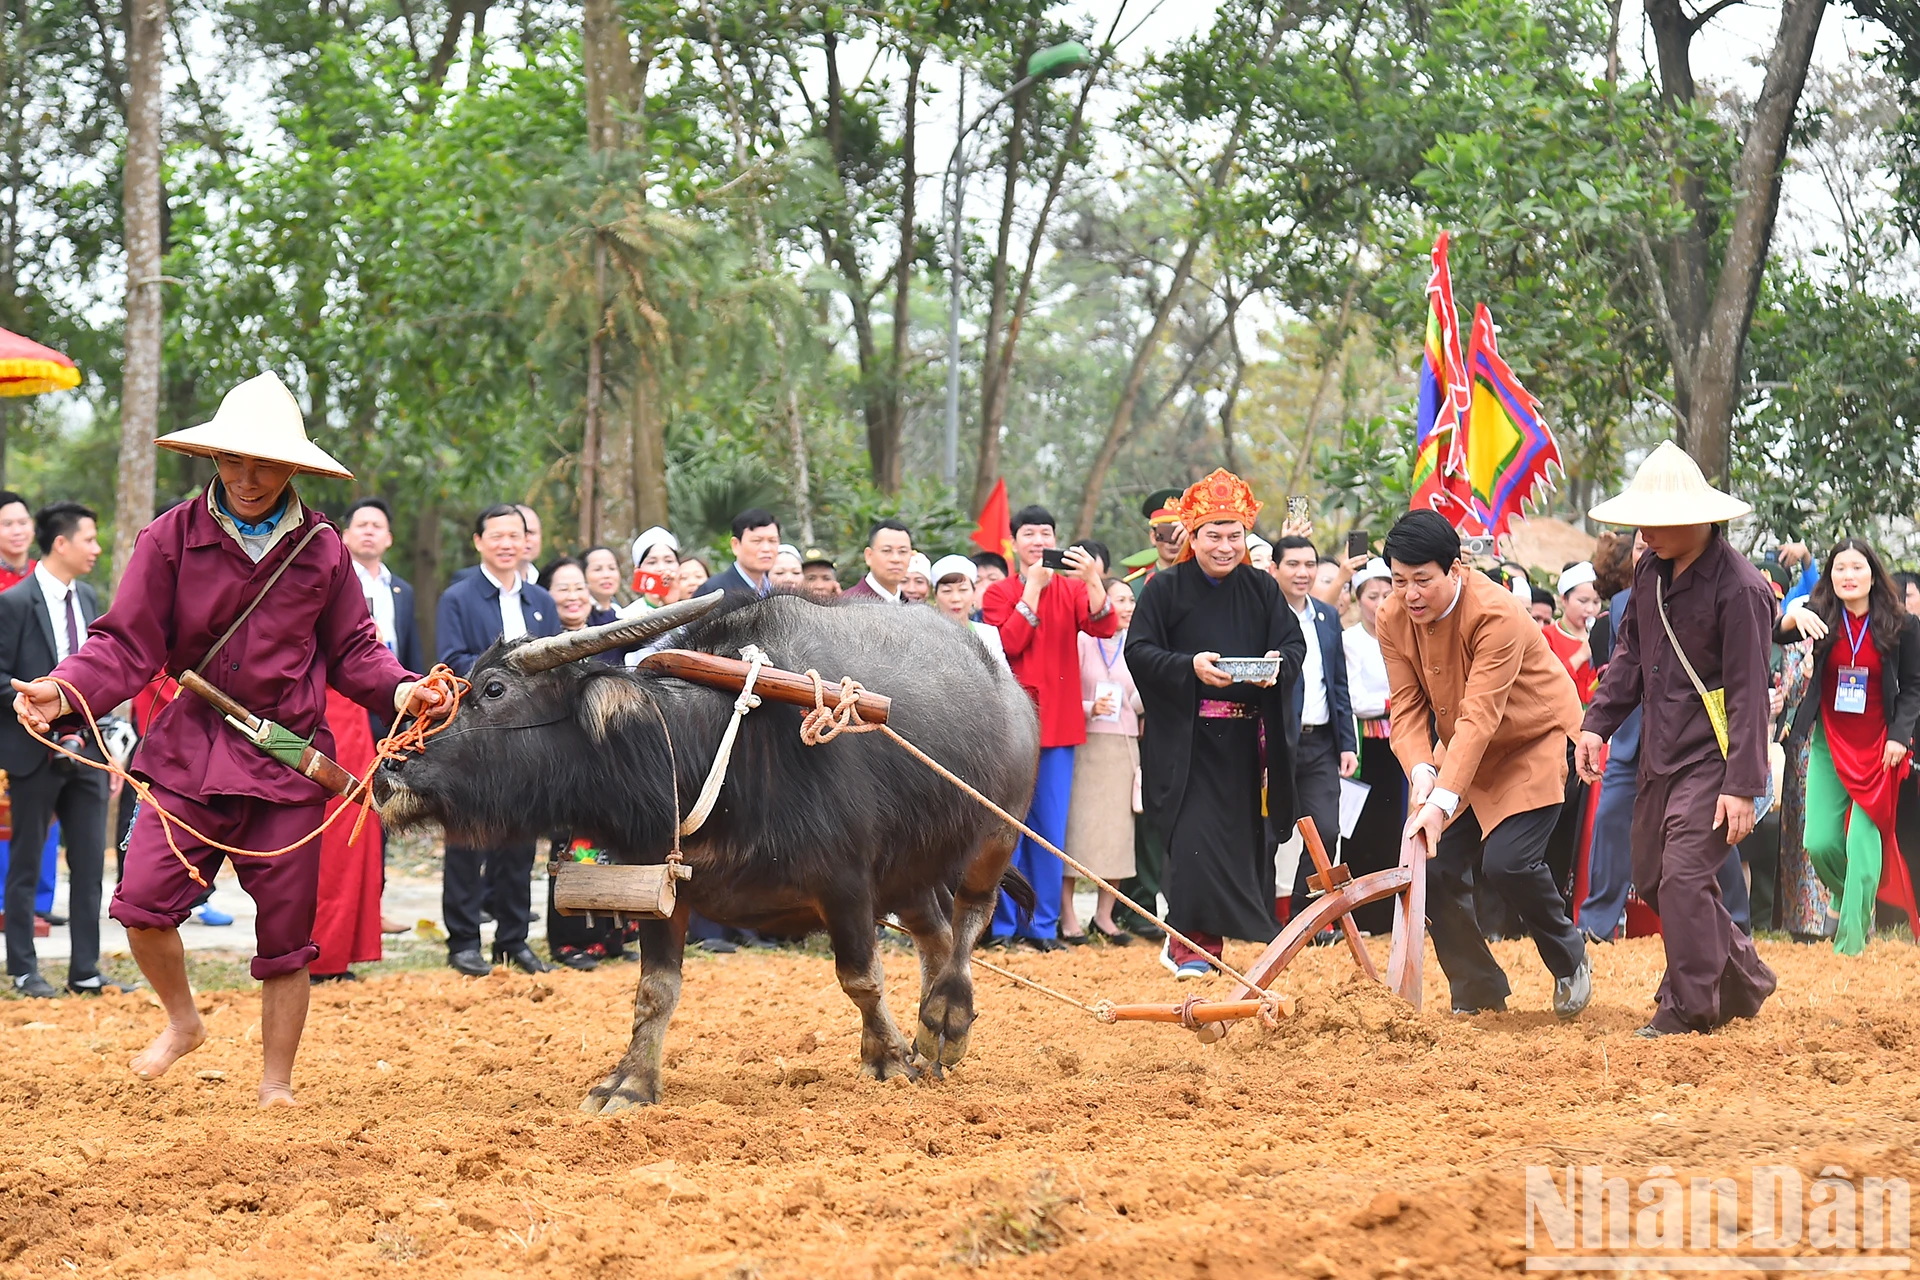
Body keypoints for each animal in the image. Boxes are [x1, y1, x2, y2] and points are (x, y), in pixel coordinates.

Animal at [368, 594, 1044, 1113]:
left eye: (494, 689)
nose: (389, 771)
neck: (718, 749)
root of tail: (1008, 687)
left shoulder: (847, 884)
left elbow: (861, 978)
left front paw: (888, 1058)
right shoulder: (666, 888)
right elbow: (655, 992)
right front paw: (629, 1084)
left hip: (995, 834)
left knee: (970, 917)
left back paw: (947, 1020)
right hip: (911, 869)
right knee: (935, 934)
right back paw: (932, 1029)